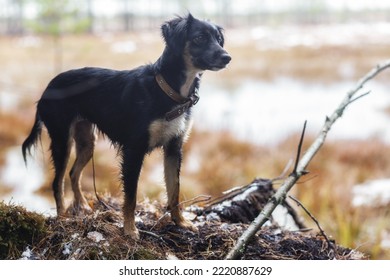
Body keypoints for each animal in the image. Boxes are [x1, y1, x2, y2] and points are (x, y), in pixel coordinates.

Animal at [21, 13, 232, 238]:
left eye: (219, 39)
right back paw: (62, 219)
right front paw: (130, 230)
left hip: (87, 142)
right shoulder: (134, 150)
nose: (227, 57)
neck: (167, 90)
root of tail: (48, 87)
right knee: (57, 181)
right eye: (199, 38)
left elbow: (174, 189)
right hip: (62, 140)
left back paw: (83, 206)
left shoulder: (174, 148)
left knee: (73, 174)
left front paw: (181, 222)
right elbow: (131, 196)